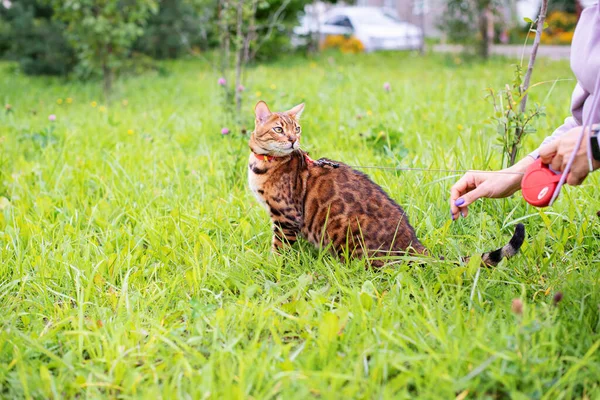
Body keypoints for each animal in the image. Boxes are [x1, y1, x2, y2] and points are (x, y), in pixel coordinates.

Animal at [246, 101, 524, 268]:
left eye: (297, 128)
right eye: (279, 129)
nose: (293, 140)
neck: (264, 163)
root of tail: (413, 243)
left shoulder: (286, 216)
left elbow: (279, 246)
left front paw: (273, 264)